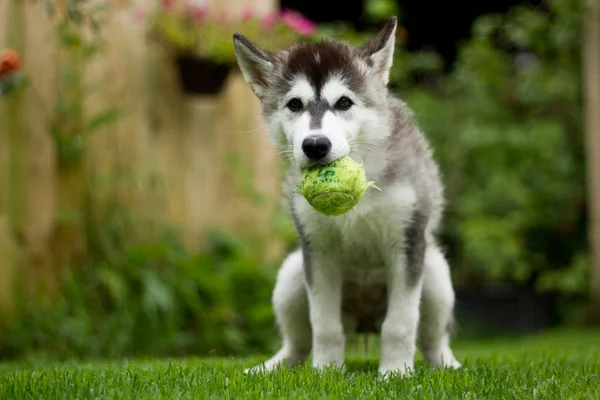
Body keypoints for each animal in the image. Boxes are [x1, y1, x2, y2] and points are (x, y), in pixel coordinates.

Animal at [232, 16, 462, 378]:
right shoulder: (319, 251)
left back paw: (447, 365)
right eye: (294, 104)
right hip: (292, 274)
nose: (315, 145)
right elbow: (325, 326)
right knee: (297, 343)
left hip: (436, 274)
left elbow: (400, 324)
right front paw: (326, 372)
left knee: (432, 339)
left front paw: (395, 372)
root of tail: (366, 321)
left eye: (344, 102)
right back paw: (271, 367)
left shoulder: (406, 243)